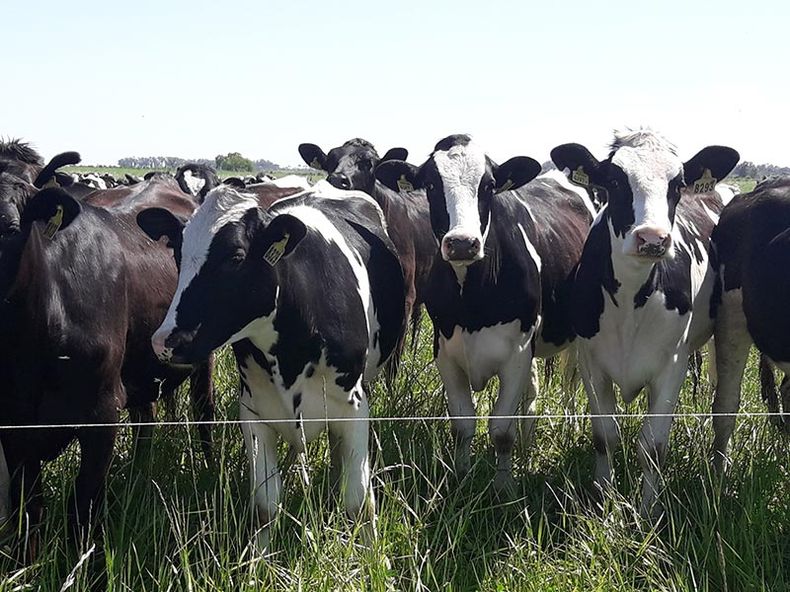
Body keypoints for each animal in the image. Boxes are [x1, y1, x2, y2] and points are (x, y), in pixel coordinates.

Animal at [0, 175, 214, 556]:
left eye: (9, 230)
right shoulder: (12, 423)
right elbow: (28, 507)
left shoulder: (101, 414)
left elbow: (83, 506)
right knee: (146, 419)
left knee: (204, 410)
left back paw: (210, 472)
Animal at [136, 181, 406, 552]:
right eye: (177, 254)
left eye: (235, 257)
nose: (166, 341)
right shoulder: (254, 412)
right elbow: (265, 505)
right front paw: (258, 559)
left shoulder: (353, 405)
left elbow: (358, 500)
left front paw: (369, 555)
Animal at [375, 134, 594, 494]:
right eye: (431, 184)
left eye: (489, 186)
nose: (463, 243)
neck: (472, 303)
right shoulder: (446, 352)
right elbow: (463, 424)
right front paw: (461, 476)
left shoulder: (516, 355)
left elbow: (501, 430)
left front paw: (504, 487)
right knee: (532, 393)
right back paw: (528, 446)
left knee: (572, 381)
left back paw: (571, 426)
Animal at [550, 128, 739, 516]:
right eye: (614, 181)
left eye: (677, 184)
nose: (652, 238)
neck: (629, 303)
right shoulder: (591, 364)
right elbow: (605, 437)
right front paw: (603, 501)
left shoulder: (671, 366)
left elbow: (652, 447)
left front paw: (649, 512)